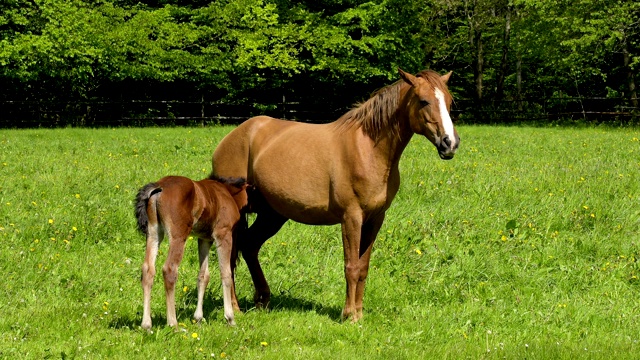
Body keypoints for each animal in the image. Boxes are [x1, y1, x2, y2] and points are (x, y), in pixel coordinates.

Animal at [134, 174, 249, 330]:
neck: (226, 192)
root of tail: (159, 187)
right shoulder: (223, 234)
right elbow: (226, 274)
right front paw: (230, 318)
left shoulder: (204, 239)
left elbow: (203, 276)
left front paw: (198, 318)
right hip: (178, 236)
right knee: (169, 270)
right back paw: (173, 324)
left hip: (153, 233)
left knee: (148, 270)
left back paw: (147, 325)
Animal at [212, 69, 458, 322]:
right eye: (424, 101)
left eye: (449, 102)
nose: (450, 143)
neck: (368, 150)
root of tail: (234, 136)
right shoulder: (351, 218)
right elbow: (351, 266)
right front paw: (349, 315)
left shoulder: (375, 219)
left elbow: (363, 266)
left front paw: (359, 313)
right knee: (230, 255)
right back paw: (235, 308)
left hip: (273, 214)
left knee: (249, 246)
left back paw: (262, 298)